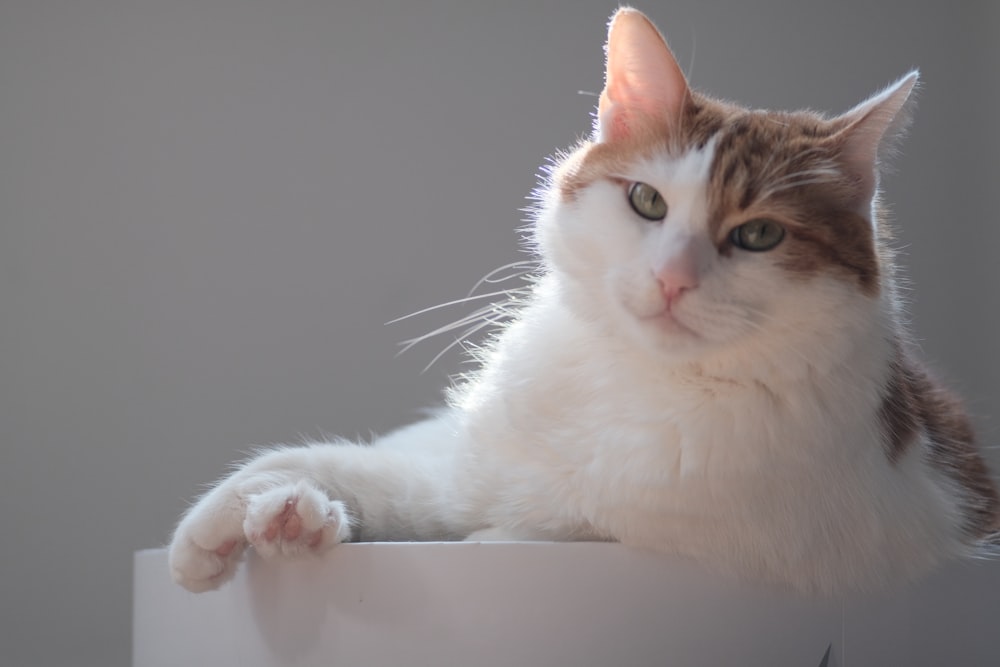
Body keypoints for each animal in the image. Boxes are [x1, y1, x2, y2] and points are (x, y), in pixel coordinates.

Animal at [168, 7, 996, 596]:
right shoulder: (466, 468)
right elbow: (349, 463)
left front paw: (295, 523)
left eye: (759, 234)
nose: (673, 278)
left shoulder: (600, 531)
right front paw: (249, 518)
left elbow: (494, 534)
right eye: (647, 200)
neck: (627, 383)